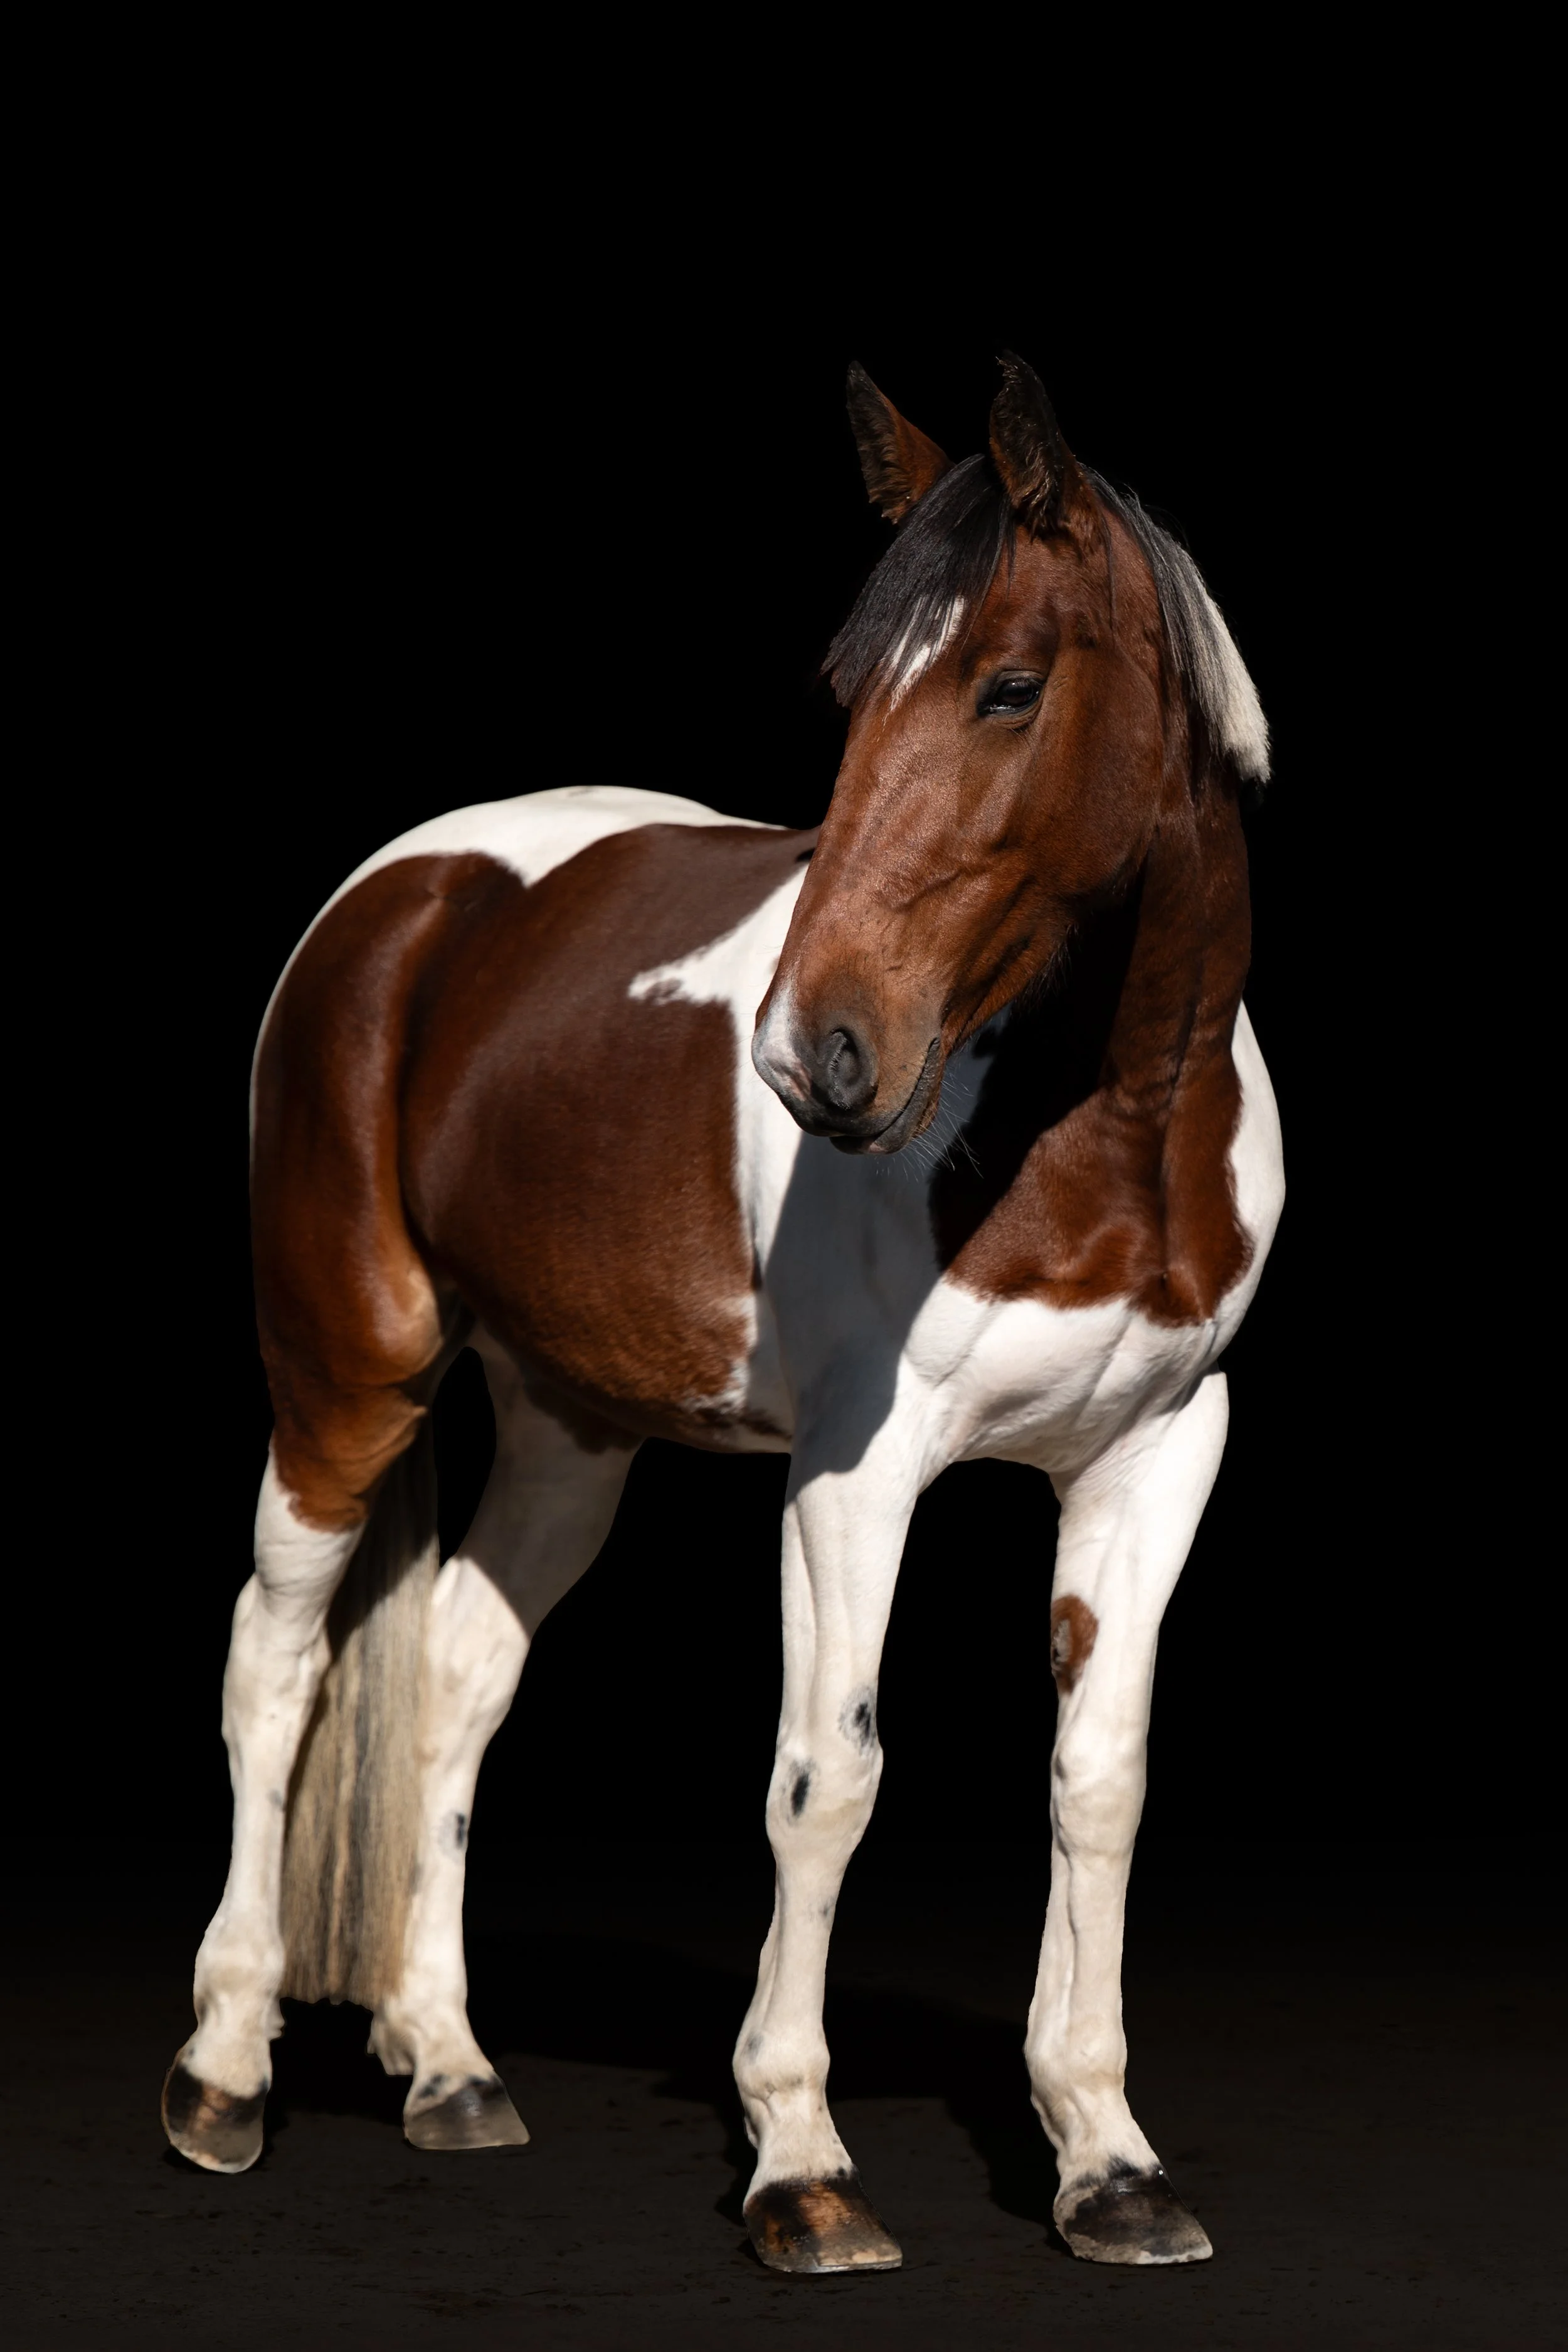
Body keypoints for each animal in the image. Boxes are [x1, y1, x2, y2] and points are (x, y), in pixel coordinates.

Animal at [163, 352, 1283, 2277]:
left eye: (1008, 686)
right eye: (844, 689)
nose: (810, 1055)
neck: (1103, 1127)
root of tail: (404, 889)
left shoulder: (1153, 1458)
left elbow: (1100, 1781)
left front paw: (1106, 2160)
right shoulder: (856, 1472)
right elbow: (827, 1782)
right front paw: (800, 2163)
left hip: (571, 1427)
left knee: (459, 1667)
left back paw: (448, 2061)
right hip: (347, 1375)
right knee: (275, 1659)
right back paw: (226, 2068)